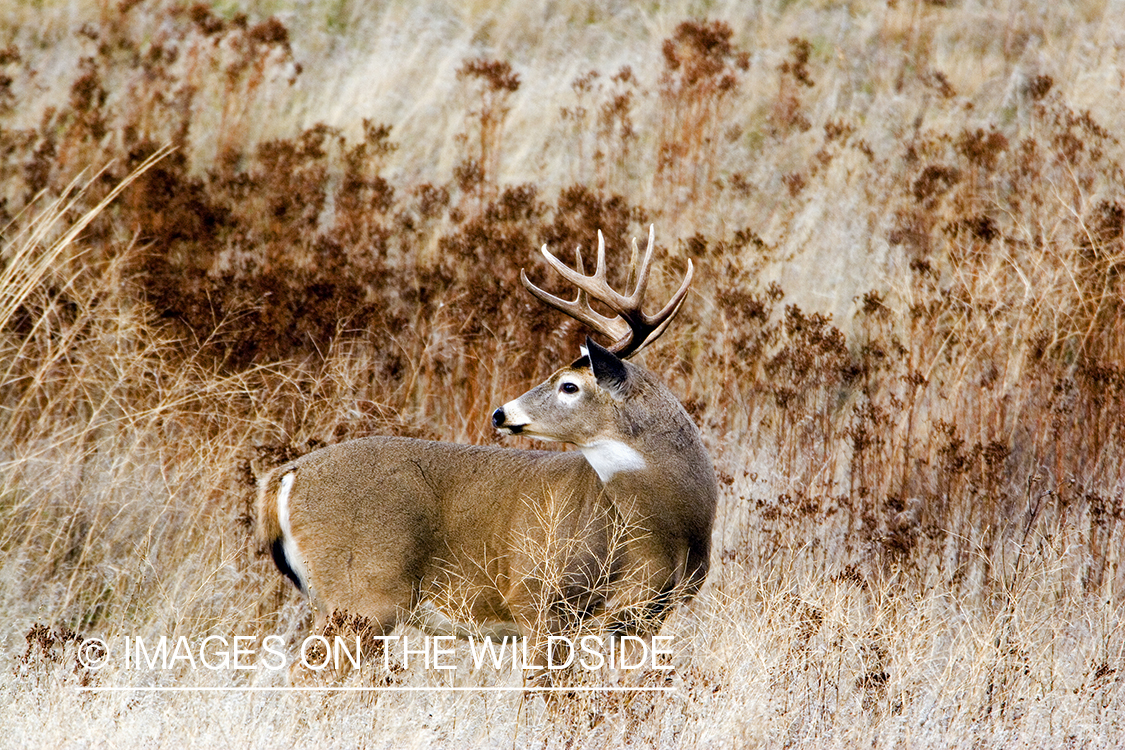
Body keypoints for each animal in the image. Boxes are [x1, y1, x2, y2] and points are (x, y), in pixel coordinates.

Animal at [255, 225, 717, 666]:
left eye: (569, 385)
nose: (500, 413)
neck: (665, 530)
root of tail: (286, 477)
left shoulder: (646, 619)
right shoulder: (538, 597)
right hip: (364, 594)